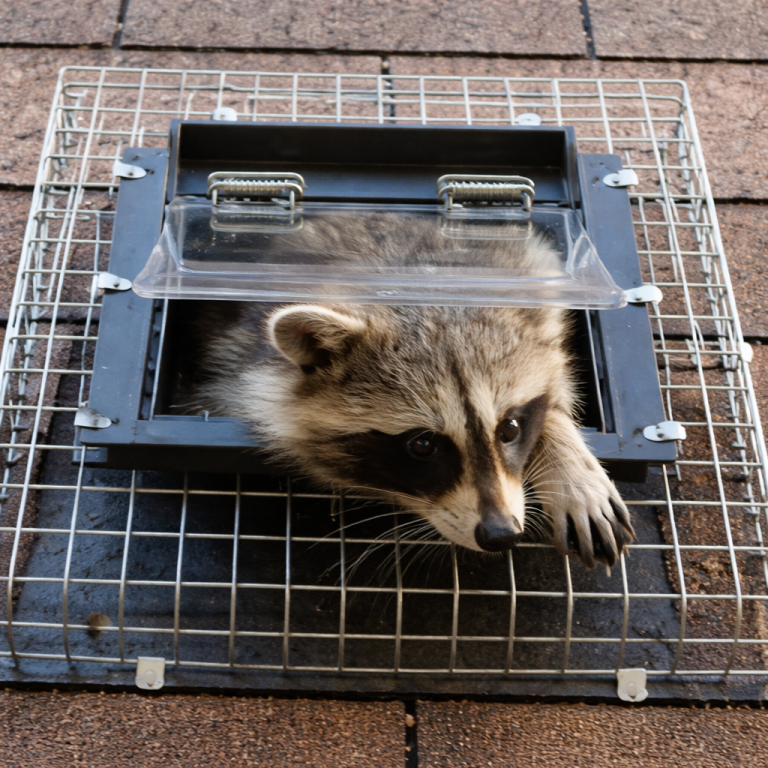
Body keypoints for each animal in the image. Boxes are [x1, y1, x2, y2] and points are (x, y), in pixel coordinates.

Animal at [189, 212, 634, 568]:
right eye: (422, 445)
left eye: (510, 428)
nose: (501, 535)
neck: (415, 290)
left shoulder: (527, 268)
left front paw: (566, 457)